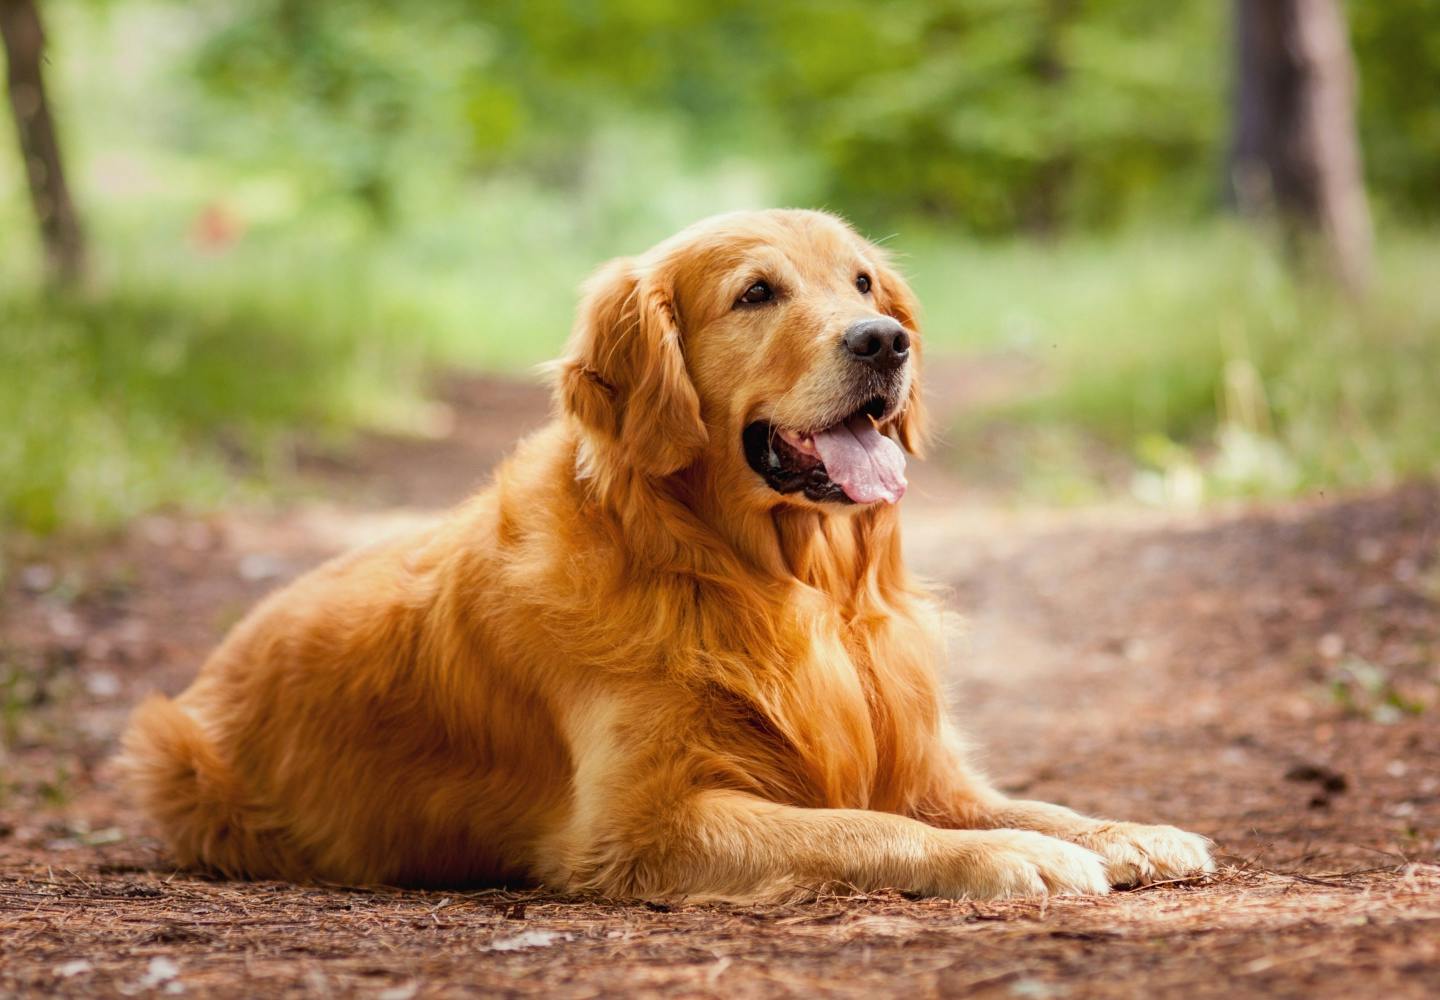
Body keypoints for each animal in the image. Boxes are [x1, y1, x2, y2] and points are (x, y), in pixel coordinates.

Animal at [118, 208, 1209, 899]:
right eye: (757, 293)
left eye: (862, 280)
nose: (884, 340)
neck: (775, 582)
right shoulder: (643, 823)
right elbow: (867, 827)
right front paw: (1009, 858)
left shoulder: (923, 760)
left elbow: (1025, 801)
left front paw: (1126, 831)